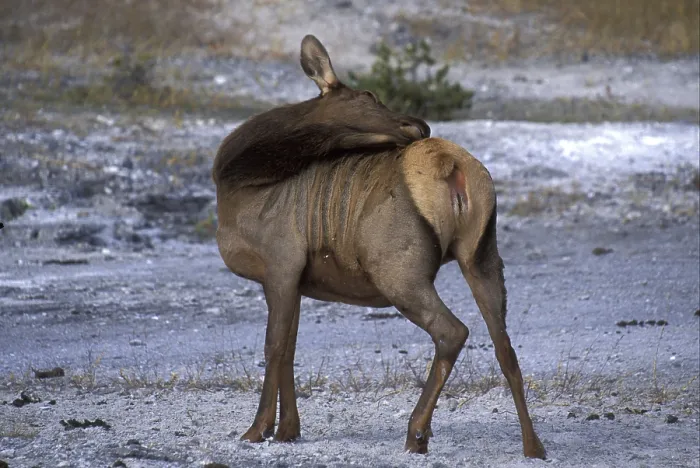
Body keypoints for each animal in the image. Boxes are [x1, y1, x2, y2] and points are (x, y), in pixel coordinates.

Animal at [211, 34, 546, 458]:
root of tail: (453, 166)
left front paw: (258, 430)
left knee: (452, 331)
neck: (238, 184)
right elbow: (290, 348)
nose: (419, 124)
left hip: (397, 268)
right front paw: (288, 429)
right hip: (482, 255)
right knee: (505, 347)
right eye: (369, 94)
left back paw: (417, 432)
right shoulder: (295, 279)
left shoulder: (280, 262)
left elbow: (274, 347)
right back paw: (533, 445)